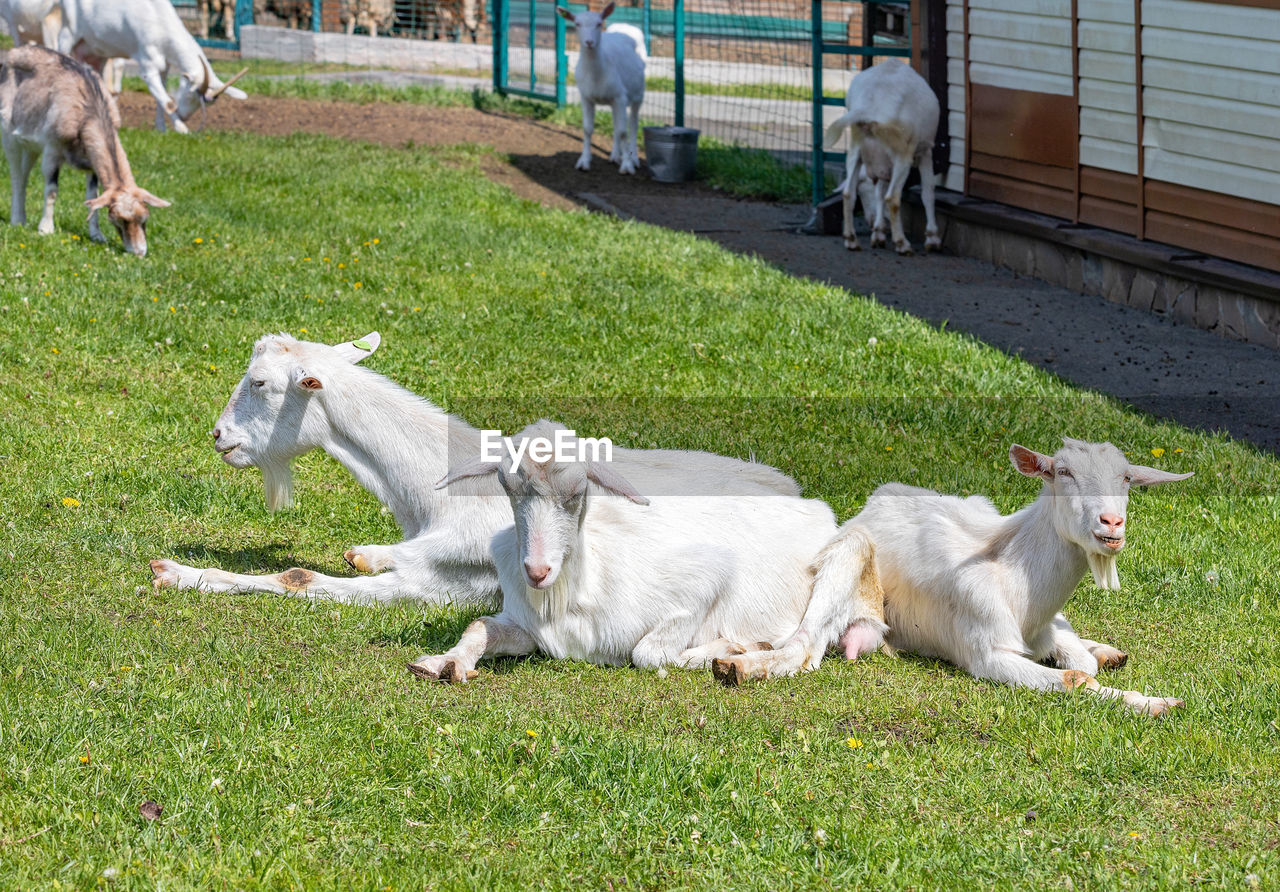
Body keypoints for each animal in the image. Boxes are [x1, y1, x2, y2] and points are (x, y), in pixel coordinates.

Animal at [0, 44, 170, 253]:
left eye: (144, 218)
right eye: (120, 219)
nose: (139, 252)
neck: (90, 112)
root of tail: (13, 51)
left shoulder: (91, 163)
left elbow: (92, 196)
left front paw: (97, 235)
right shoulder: (52, 148)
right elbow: (51, 190)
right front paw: (46, 229)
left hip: (31, 143)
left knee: (24, 172)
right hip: (9, 133)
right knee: (16, 175)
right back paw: (17, 220)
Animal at [57, 0, 247, 133]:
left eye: (208, 103)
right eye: (192, 94)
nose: (184, 117)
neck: (159, 22)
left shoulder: (163, 68)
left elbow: (160, 98)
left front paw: (161, 128)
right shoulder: (148, 65)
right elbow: (167, 101)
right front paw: (181, 129)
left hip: (96, 51)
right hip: (68, 33)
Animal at [409, 419, 890, 685]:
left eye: (578, 491)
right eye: (507, 488)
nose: (537, 570)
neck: (575, 592)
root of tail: (816, 509)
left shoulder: (705, 576)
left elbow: (647, 653)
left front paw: (723, 648)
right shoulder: (530, 627)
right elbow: (479, 626)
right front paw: (443, 664)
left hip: (850, 556)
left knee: (803, 648)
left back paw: (745, 664)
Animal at [555, 2, 645, 175]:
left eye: (599, 23)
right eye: (577, 24)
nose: (589, 42)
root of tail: (625, 26)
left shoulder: (620, 96)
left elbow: (623, 131)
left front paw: (627, 166)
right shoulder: (585, 96)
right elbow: (587, 129)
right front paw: (583, 162)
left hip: (638, 94)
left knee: (633, 124)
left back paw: (634, 159)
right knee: (616, 124)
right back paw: (615, 156)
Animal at [819, 59, 942, 253]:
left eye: (864, 191)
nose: (869, 221)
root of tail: (870, 105)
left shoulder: (882, 165)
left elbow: (878, 193)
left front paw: (878, 233)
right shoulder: (925, 151)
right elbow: (928, 192)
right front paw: (932, 238)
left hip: (856, 150)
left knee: (848, 194)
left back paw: (851, 240)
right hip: (902, 154)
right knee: (892, 197)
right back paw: (902, 243)